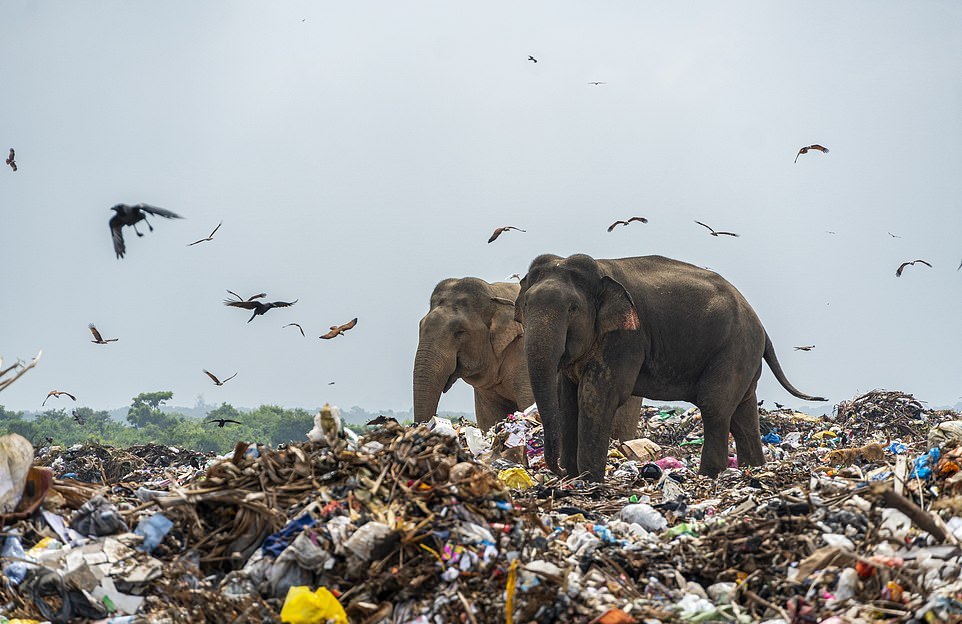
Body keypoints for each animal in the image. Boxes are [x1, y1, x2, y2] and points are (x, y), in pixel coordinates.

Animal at [410, 278, 640, 438]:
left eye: (459, 332)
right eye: (420, 326)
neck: (494, 292)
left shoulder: (524, 356)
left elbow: (530, 404)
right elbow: (489, 418)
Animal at [516, 251, 824, 480]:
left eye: (572, 309)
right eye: (527, 305)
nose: (557, 470)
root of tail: (761, 326)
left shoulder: (627, 338)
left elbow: (596, 396)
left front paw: (589, 480)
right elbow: (567, 399)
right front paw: (573, 478)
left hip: (734, 349)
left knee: (715, 406)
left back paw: (709, 474)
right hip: (743, 356)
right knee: (742, 410)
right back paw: (753, 468)